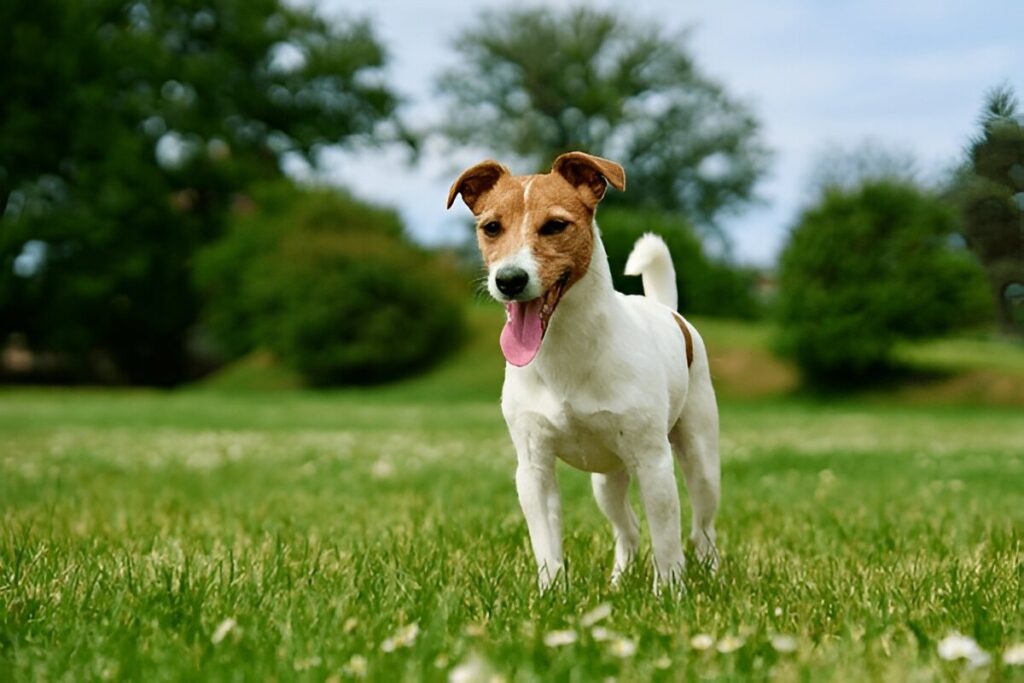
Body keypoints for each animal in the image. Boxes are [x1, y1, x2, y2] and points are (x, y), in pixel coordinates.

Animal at [448, 152, 720, 589]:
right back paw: (619, 582)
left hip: (700, 456)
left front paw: (668, 594)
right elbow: (546, 545)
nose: (509, 280)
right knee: (628, 529)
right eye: (491, 227)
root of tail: (668, 310)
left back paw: (711, 571)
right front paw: (551, 593)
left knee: (701, 528)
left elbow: (667, 544)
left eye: (555, 226)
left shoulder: (654, 463)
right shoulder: (534, 469)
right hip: (606, 480)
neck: (565, 353)